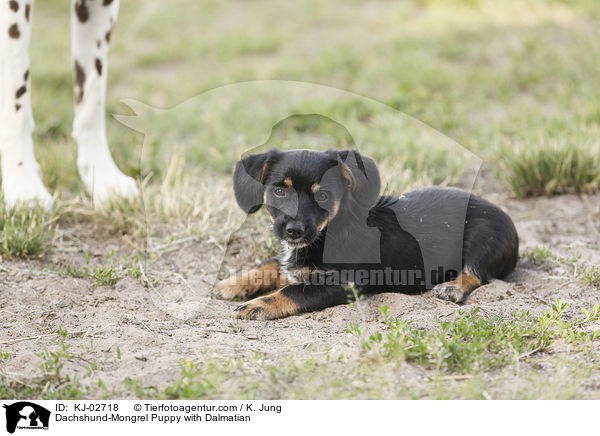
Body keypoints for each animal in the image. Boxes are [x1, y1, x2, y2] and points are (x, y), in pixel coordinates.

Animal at [213, 150, 516, 320]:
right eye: (279, 191)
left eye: (323, 196)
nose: (294, 230)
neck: (327, 232)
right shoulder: (292, 258)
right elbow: (270, 264)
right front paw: (232, 283)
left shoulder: (340, 285)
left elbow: (292, 289)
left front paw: (257, 305)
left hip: (483, 238)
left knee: (476, 273)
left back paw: (452, 287)